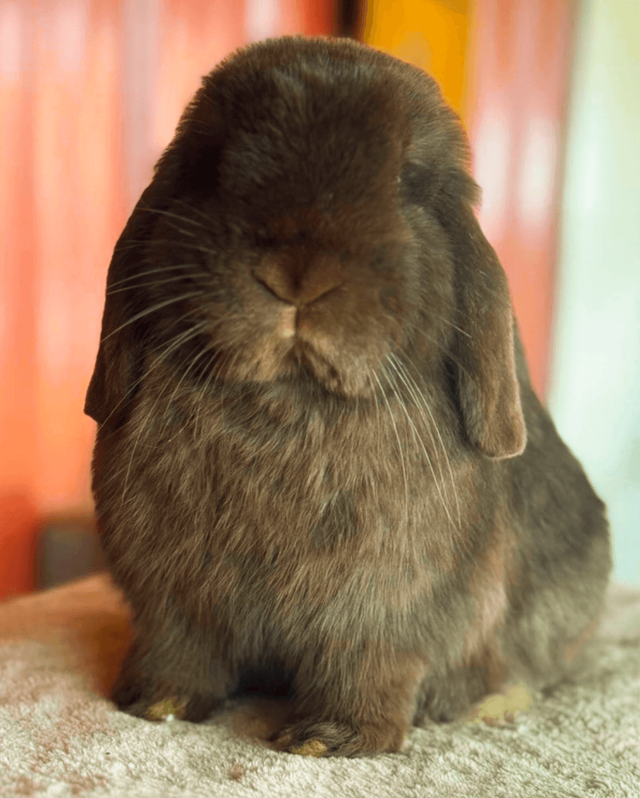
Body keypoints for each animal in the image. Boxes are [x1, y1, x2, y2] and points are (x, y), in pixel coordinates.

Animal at [85, 35, 611, 757]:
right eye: (213, 167)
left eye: (408, 183)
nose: (298, 275)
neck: (288, 402)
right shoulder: (172, 598)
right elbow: (180, 653)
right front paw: (153, 704)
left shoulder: (382, 613)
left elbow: (366, 668)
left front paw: (329, 740)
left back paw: (489, 702)